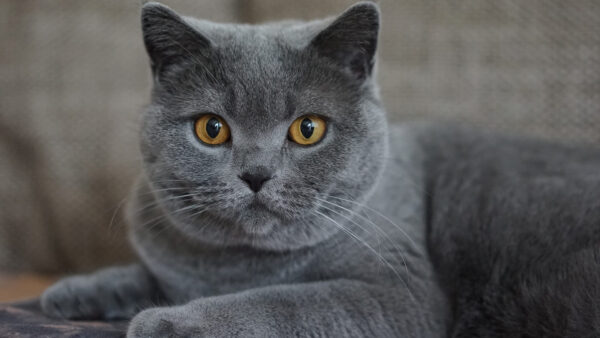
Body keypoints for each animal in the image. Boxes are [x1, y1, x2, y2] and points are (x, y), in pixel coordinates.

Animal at [39, 1, 600, 336]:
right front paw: (72, 293)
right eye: (211, 129)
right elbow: (144, 272)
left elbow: (281, 302)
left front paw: (170, 323)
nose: (257, 173)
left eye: (307, 129)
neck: (238, 267)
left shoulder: (398, 294)